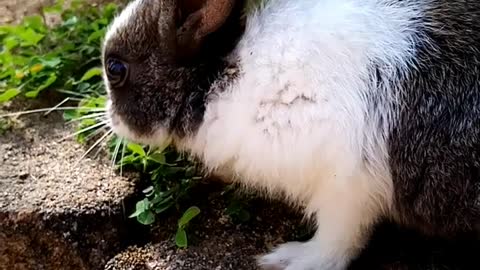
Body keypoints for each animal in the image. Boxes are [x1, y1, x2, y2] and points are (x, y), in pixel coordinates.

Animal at [100, 0, 480, 270]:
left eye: (116, 69)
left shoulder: (346, 187)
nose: (110, 120)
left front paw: (289, 260)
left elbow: (337, 242)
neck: (224, 78)